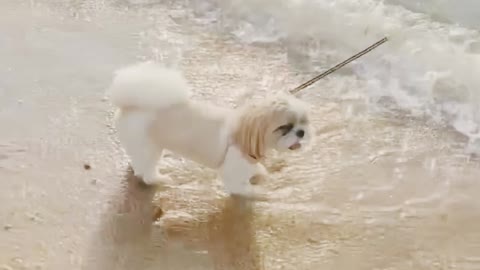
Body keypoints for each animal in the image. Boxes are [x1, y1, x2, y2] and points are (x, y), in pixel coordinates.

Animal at [106, 61, 312, 196]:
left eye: (303, 122)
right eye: (285, 127)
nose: (301, 132)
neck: (245, 131)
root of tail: (130, 103)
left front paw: (260, 173)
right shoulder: (233, 172)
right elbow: (243, 187)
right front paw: (259, 191)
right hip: (149, 146)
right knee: (147, 171)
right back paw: (159, 180)